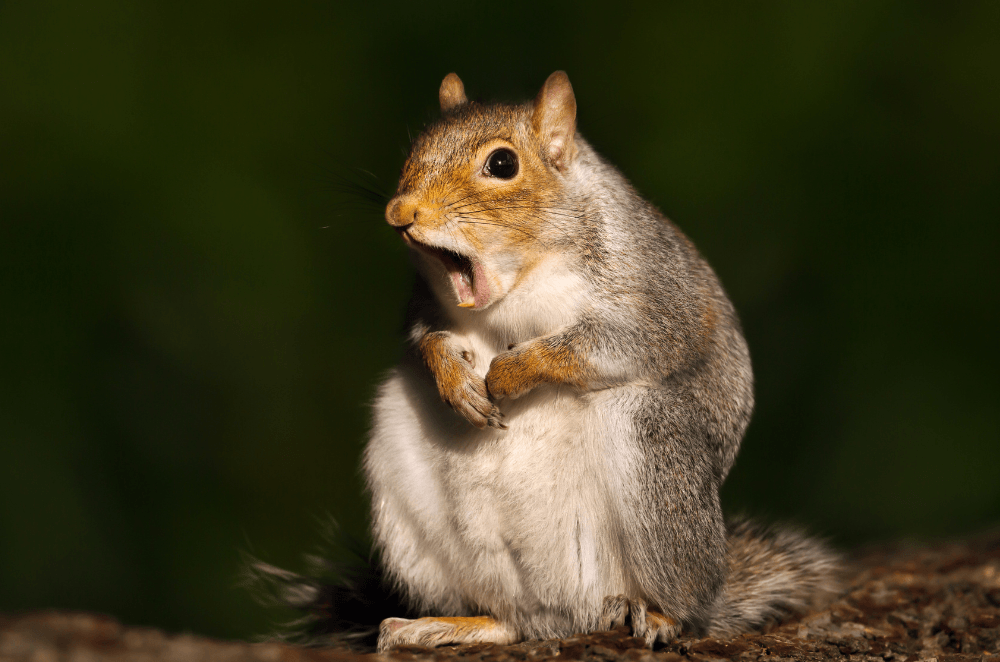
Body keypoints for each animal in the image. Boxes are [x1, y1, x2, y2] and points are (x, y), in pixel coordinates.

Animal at [248, 70, 836, 652]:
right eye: (414, 148)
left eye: (502, 164)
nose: (400, 212)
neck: (519, 281)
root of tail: (569, 611)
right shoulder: (421, 306)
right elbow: (425, 340)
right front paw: (456, 379)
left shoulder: (657, 299)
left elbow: (608, 344)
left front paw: (511, 373)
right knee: (512, 619)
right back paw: (446, 625)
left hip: (653, 453)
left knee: (687, 601)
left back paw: (662, 615)